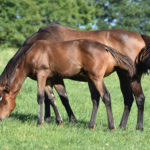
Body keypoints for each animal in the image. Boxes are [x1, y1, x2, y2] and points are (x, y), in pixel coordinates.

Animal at [0, 39, 135, 129]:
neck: (32, 53)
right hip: (91, 79)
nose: (1, 118)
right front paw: (59, 121)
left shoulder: (41, 75)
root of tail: (105, 47)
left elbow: (40, 97)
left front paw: (40, 122)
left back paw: (111, 126)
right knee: (95, 99)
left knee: (106, 96)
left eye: (5, 102)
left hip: (97, 78)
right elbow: (52, 99)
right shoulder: (49, 79)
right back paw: (91, 125)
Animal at [15, 23, 150, 130]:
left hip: (130, 77)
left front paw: (57, 119)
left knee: (139, 98)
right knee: (129, 99)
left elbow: (59, 97)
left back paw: (138, 127)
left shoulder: (54, 76)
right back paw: (122, 126)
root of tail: (140, 36)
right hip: (123, 75)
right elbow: (54, 97)